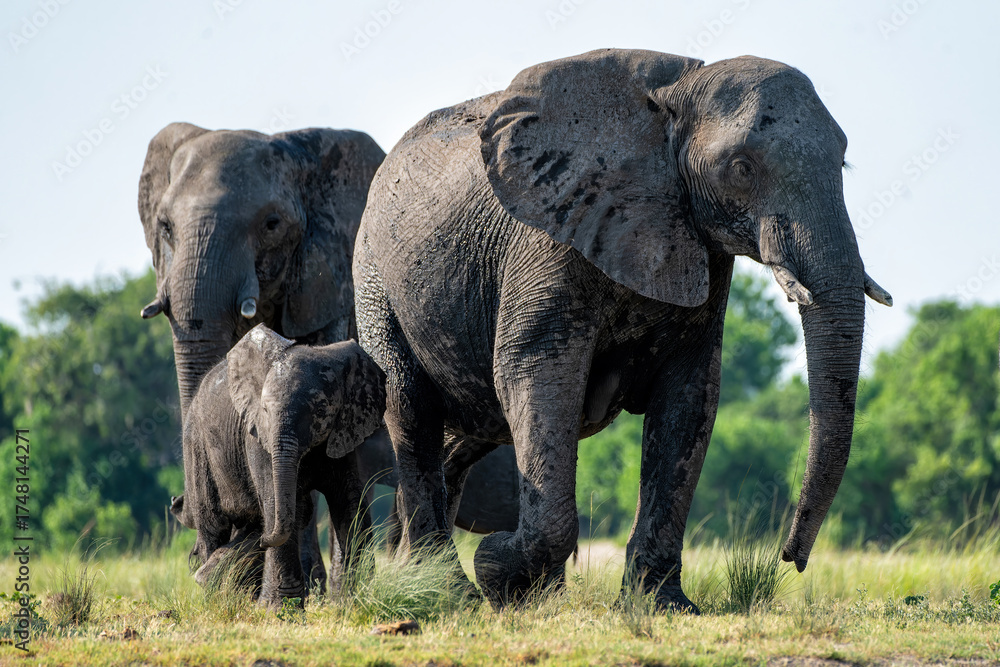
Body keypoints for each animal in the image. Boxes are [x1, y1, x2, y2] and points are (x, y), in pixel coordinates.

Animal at [171, 324, 385, 605]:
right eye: (264, 409)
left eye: (321, 410)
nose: (264, 539)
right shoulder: (257, 438)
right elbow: (277, 503)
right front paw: (279, 609)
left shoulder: (343, 433)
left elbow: (349, 503)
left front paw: (358, 602)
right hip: (197, 444)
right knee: (213, 524)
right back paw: (215, 597)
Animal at [353, 49, 893, 612]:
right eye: (742, 168)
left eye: (843, 163)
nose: (790, 559)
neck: (672, 98)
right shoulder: (550, 233)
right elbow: (533, 370)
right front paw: (500, 569)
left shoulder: (699, 246)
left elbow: (690, 395)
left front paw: (662, 605)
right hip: (375, 277)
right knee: (412, 410)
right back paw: (446, 593)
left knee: (468, 432)